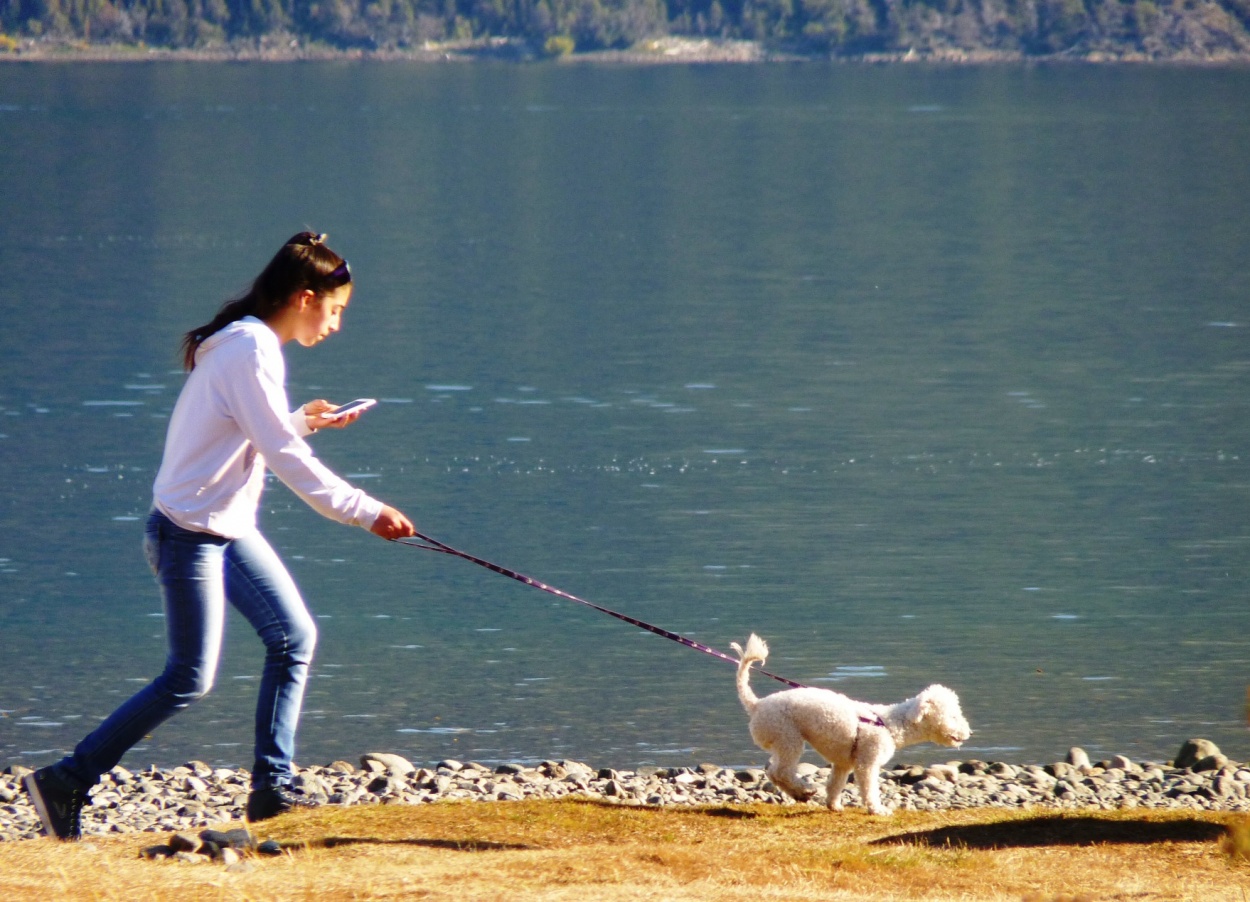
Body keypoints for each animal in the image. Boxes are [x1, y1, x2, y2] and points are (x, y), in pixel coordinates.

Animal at [730, 632, 970, 814]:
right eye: (953, 716)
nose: (967, 732)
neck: (890, 724)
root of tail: (756, 704)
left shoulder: (843, 763)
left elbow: (836, 784)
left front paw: (834, 805)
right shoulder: (867, 763)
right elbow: (869, 788)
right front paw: (877, 810)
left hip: (783, 742)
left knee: (773, 772)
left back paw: (798, 793)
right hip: (788, 738)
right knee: (781, 771)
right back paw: (804, 790)